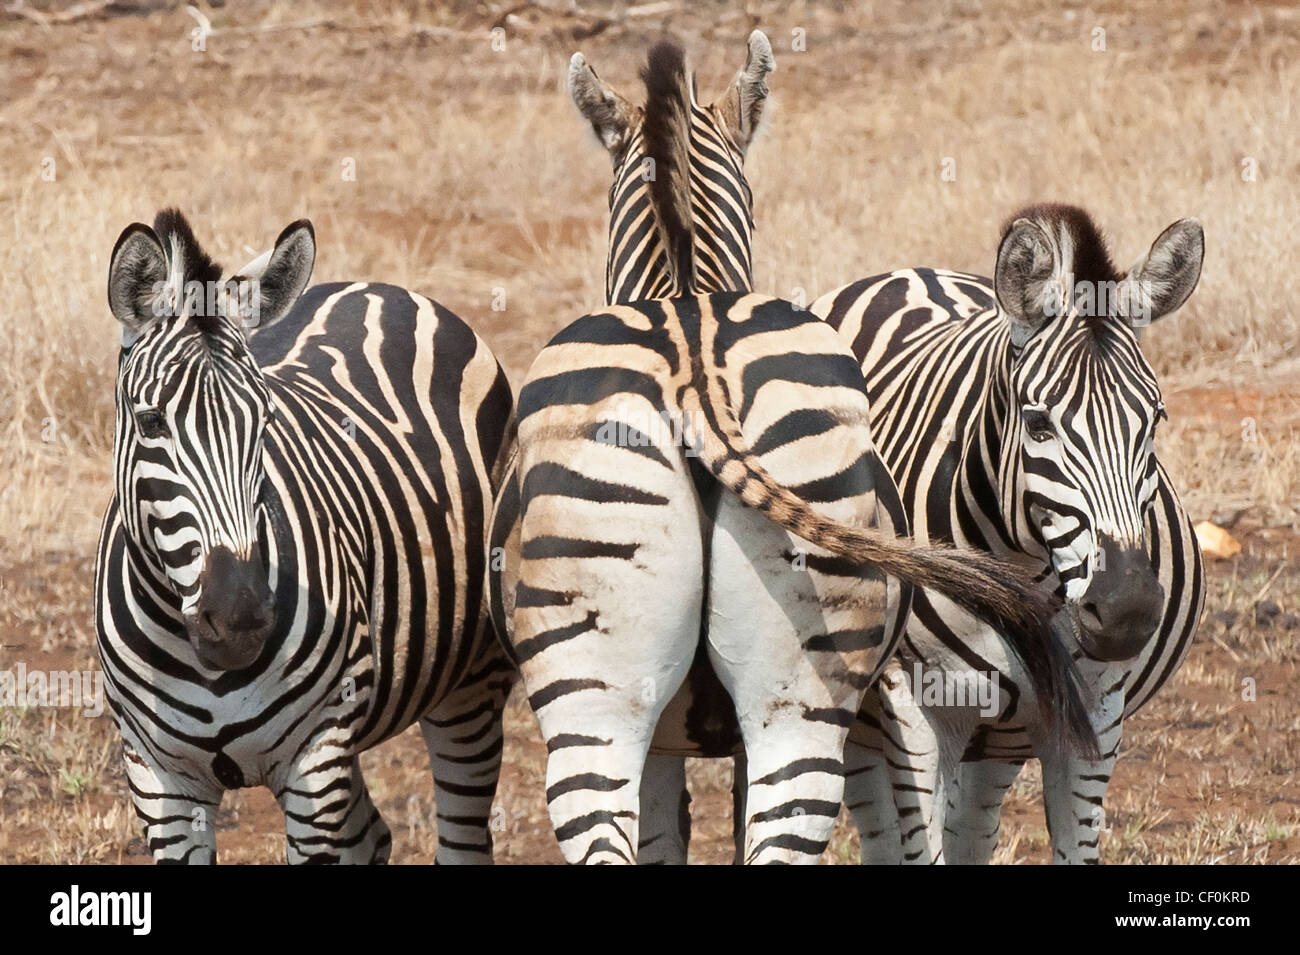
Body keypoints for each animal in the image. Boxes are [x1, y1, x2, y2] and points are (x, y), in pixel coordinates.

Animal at [94, 209, 517, 867]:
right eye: (151, 422)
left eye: (265, 421)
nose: (240, 620)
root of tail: (379, 289)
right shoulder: (157, 776)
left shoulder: (316, 758)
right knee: (371, 836)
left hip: (471, 681)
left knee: (464, 837)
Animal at [811, 203, 1206, 867]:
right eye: (1039, 424)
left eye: (1155, 420)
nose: (1126, 611)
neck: (1023, 571)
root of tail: (914, 271)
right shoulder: (917, 715)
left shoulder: (1095, 716)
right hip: (867, 711)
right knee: (879, 828)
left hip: (1004, 733)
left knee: (973, 828)